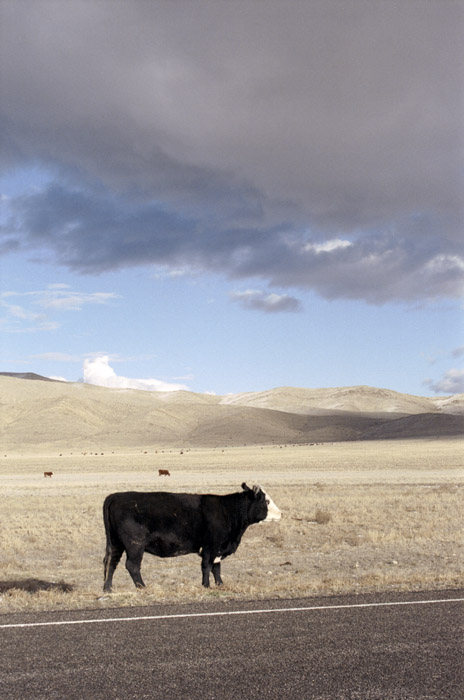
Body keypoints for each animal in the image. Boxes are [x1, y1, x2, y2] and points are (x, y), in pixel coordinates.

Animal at [103, 482, 280, 592]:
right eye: (267, 501)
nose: (281, 513)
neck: (227, 510)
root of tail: (115, 496)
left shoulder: (218, 548)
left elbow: (216, 568)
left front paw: (220, 585)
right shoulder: (211, 546)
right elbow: (207, 566)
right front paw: (206, 586)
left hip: (116, 543)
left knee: (111, 563)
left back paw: (108, 589)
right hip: (135, 545)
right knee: (132, 565)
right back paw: (142, 587)